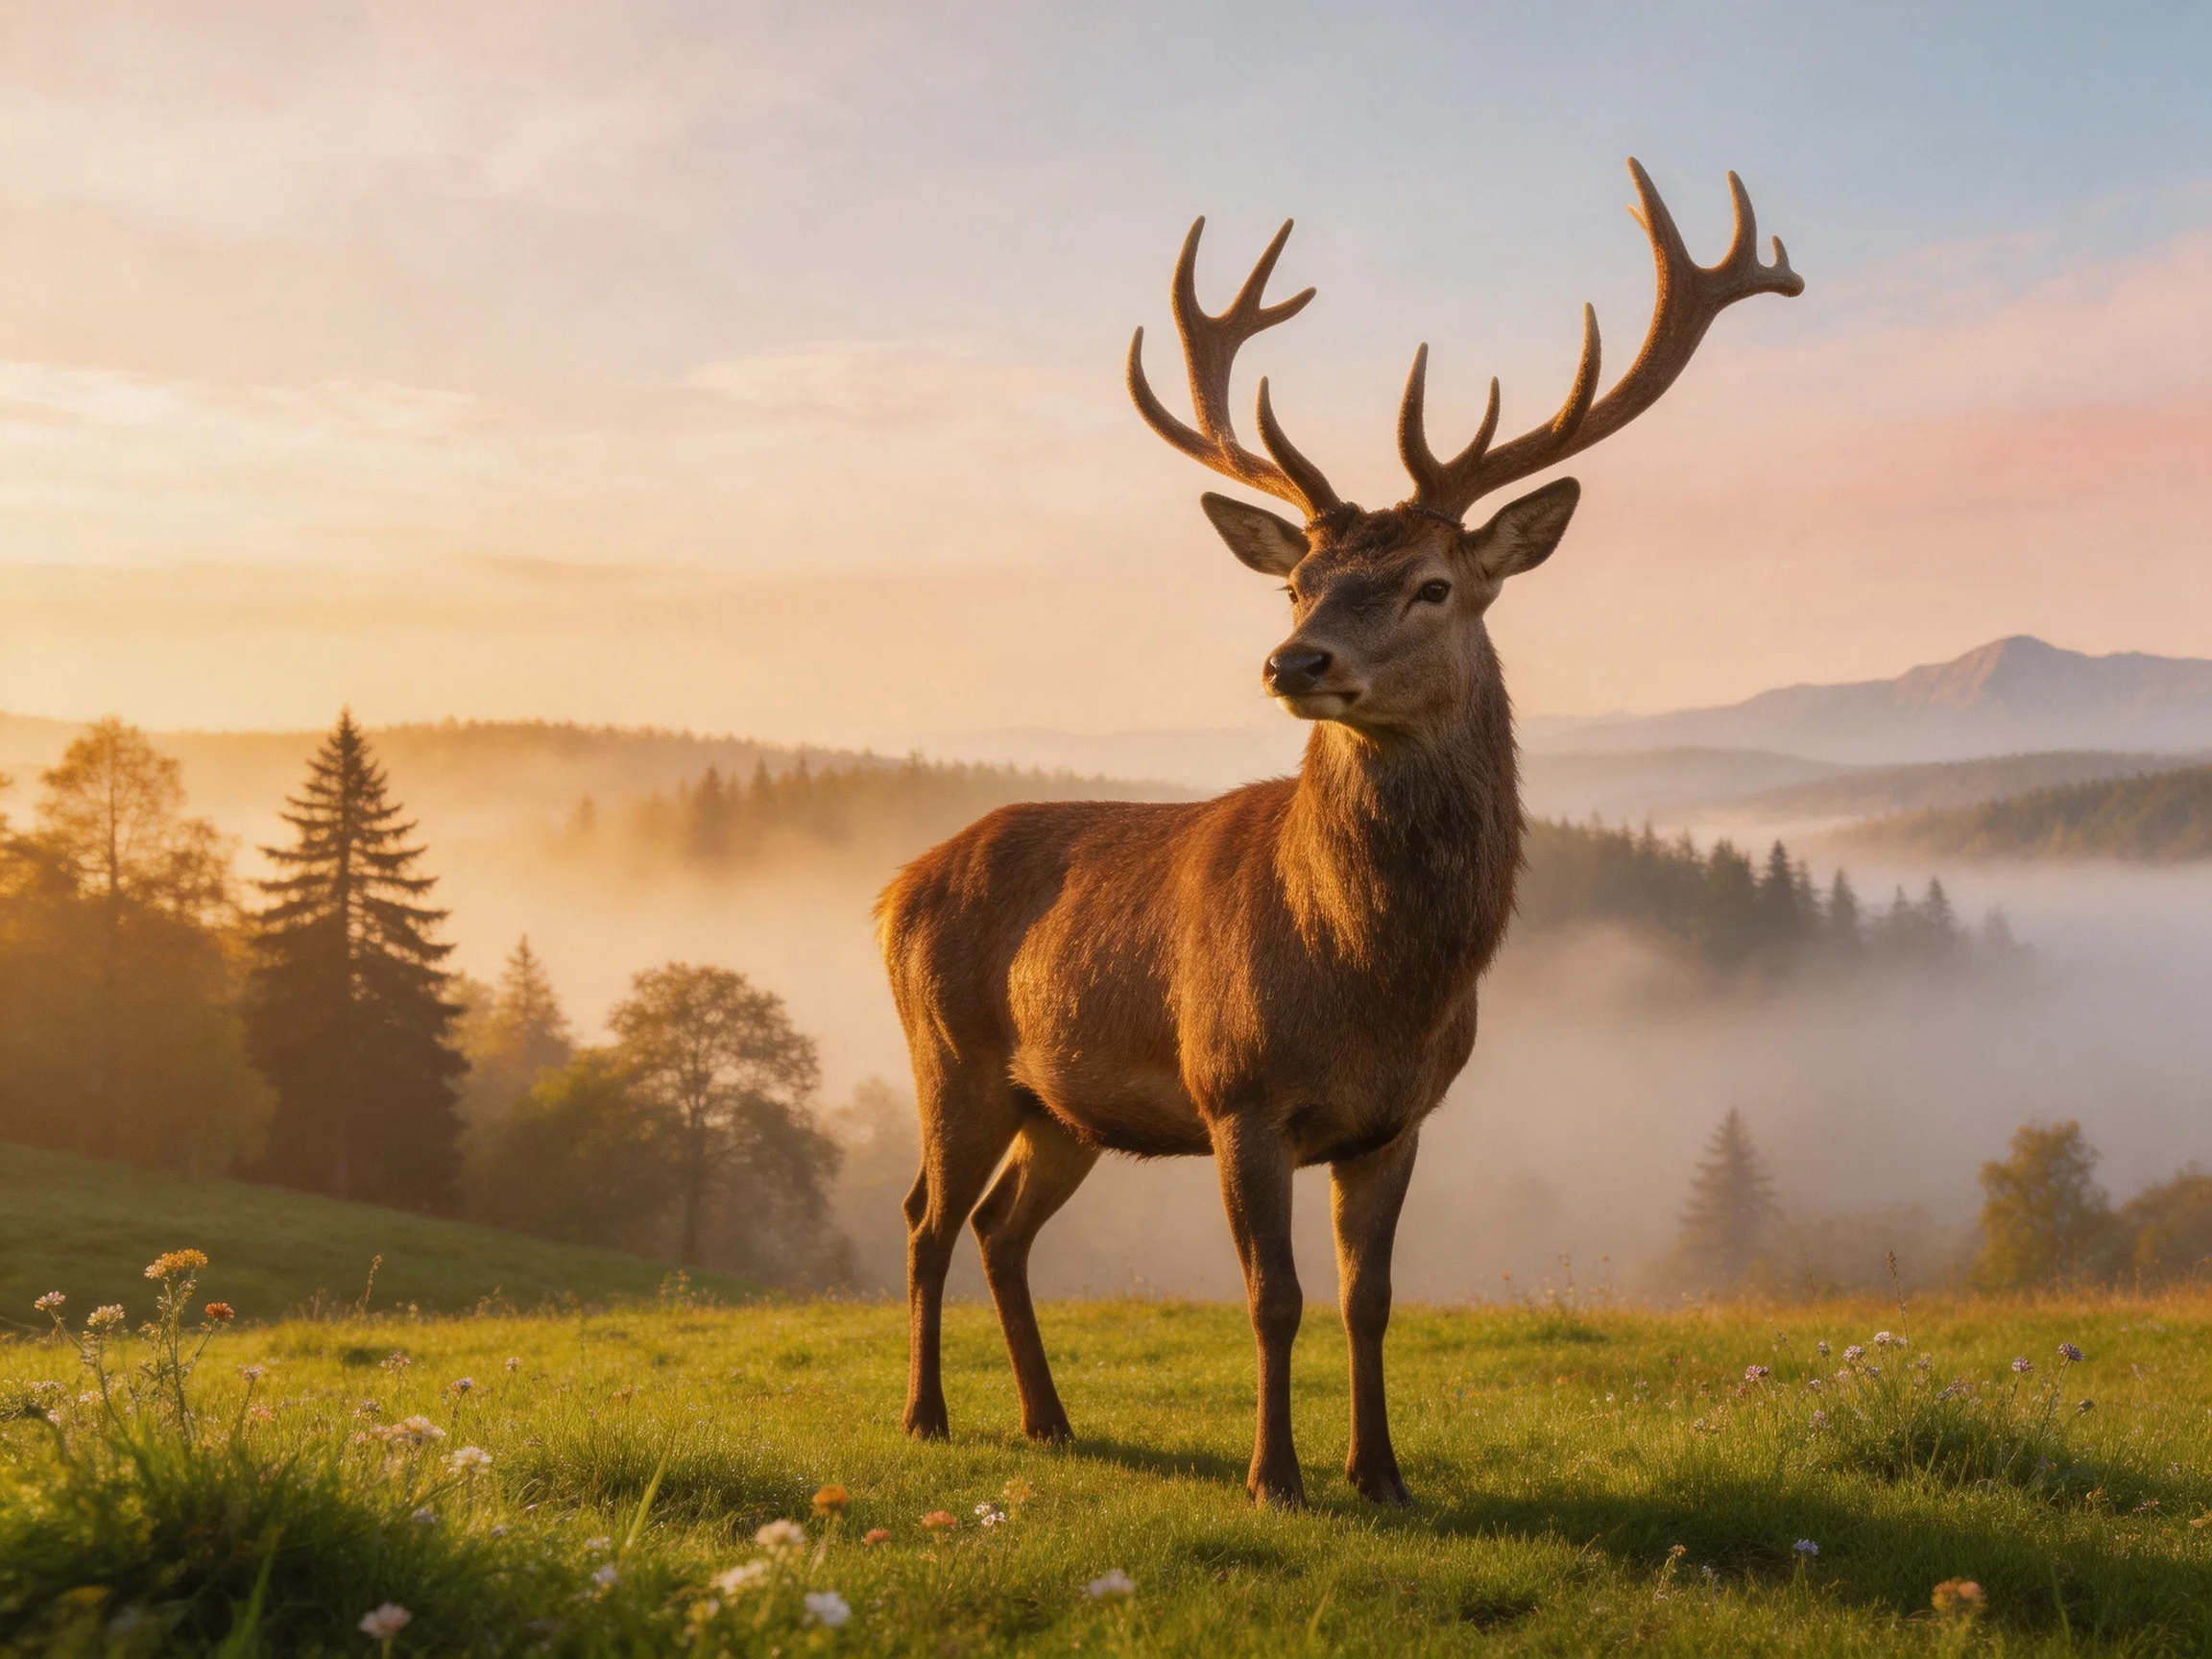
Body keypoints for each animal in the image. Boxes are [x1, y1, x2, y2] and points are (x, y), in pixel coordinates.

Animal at [876, 159, 1801, 1508]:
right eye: (1295, 582)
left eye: (1433, 584)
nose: (1292, 661)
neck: (1370, 982)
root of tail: (894, 884)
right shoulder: (1237, 1094)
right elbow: (1275, 1298)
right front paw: (1277, 1477)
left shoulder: (1400, 1119)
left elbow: (1371, 1299)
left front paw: (1382, 1473)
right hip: (950, 1054)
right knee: (925, 1219)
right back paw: (927, 1417)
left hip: (1062, 1105)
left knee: (1001, 1229)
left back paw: (1049, 1421)